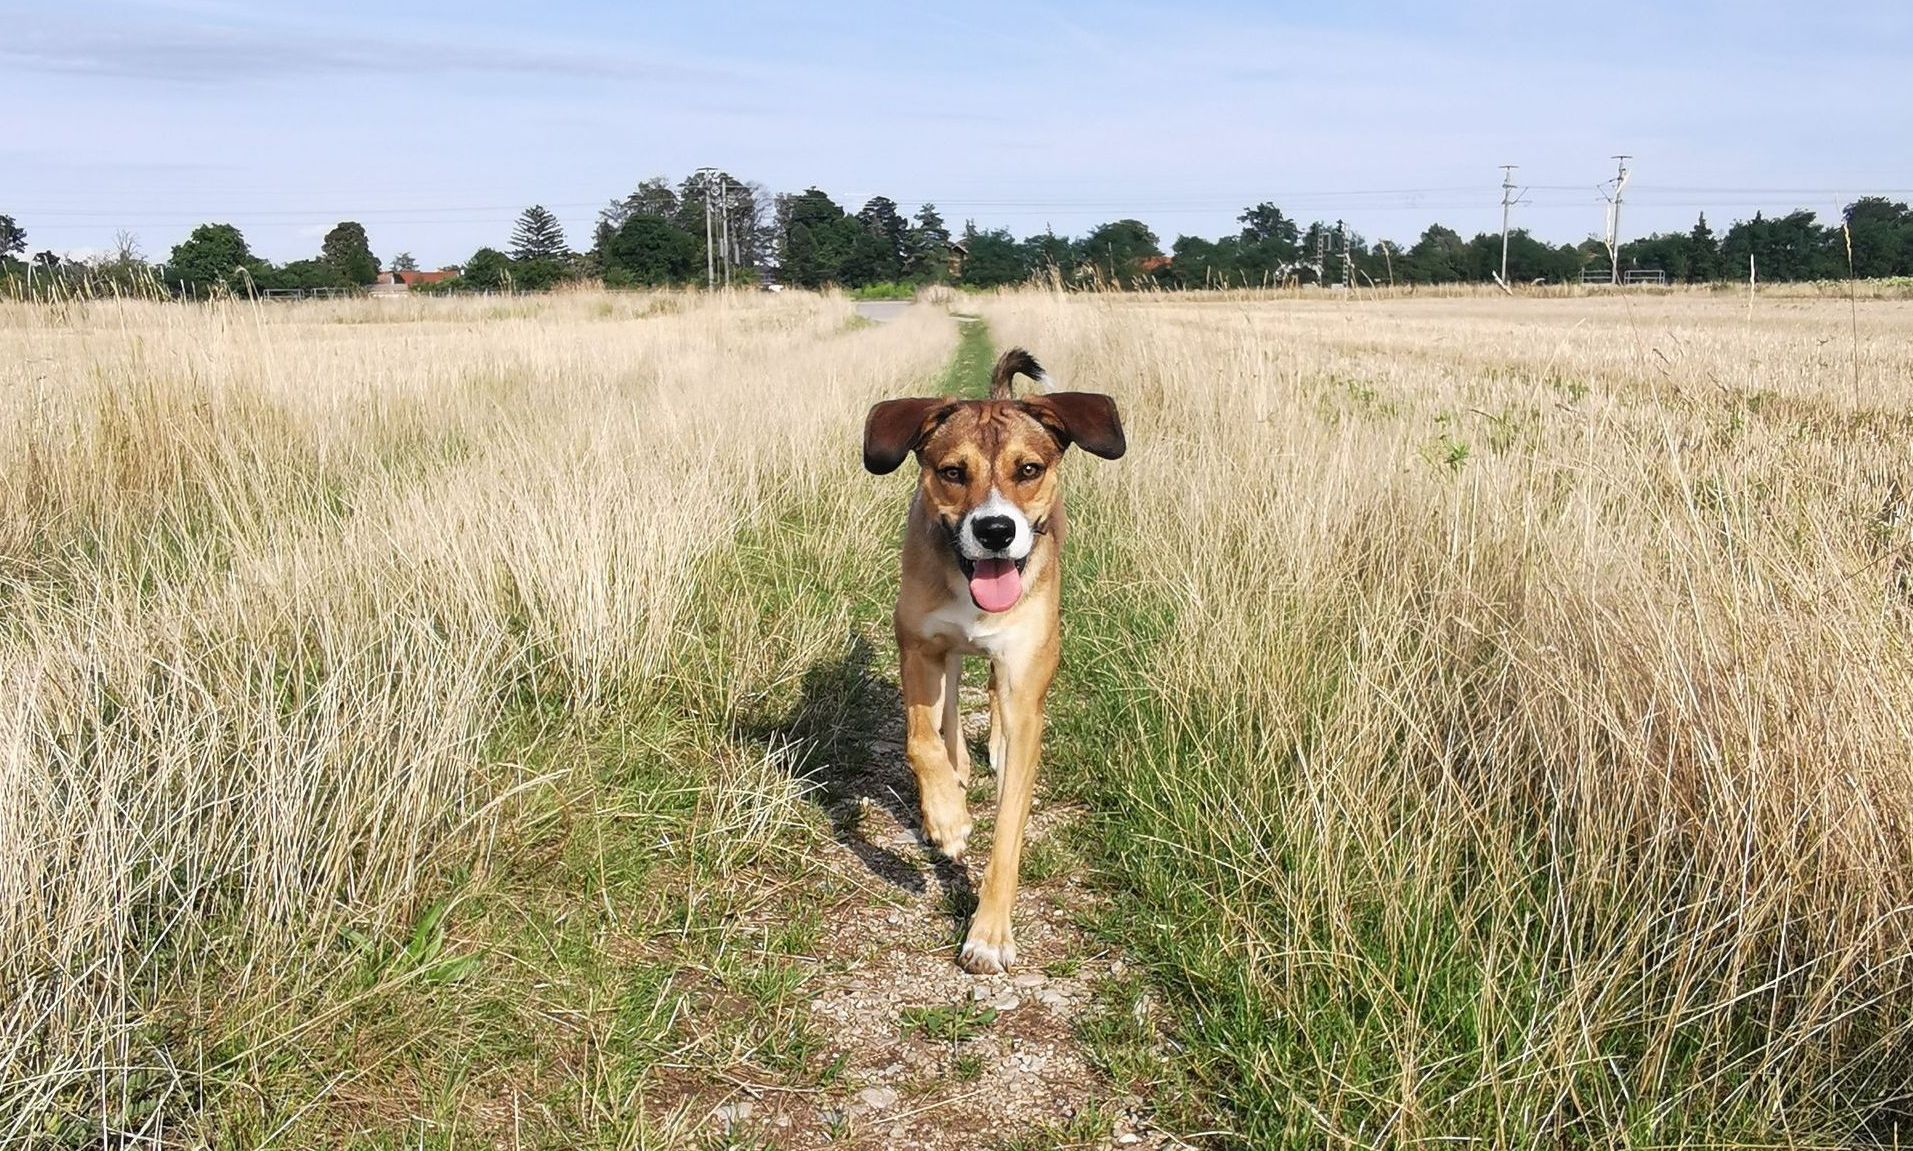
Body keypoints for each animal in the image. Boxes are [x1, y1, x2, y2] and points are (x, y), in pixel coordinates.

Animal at [864, 347, 1117, 967]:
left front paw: (989, 933)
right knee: (952, 702)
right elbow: (919, 737)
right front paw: (947, 817)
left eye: (1028, 469)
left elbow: (1009, 826)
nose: (997, 530)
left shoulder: (1024, 685)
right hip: (944, 655)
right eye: (953, 472)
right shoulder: (917, 650)